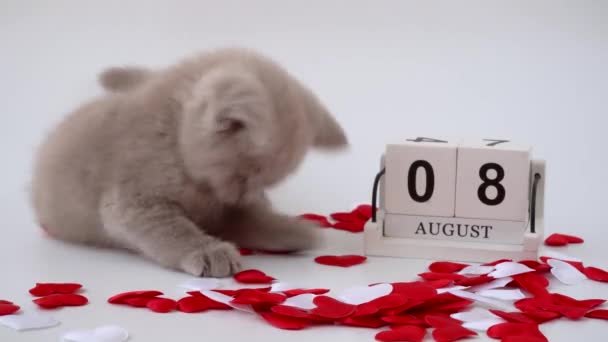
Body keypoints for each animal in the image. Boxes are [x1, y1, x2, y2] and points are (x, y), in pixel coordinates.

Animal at [30, 48, 346, 278]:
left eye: (266, 182)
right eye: (244, 175)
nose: (244, 197)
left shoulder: (225, 208)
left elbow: (248, 219)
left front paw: (287, 229)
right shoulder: (136, 202)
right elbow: (176, 230)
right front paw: (209, 252)